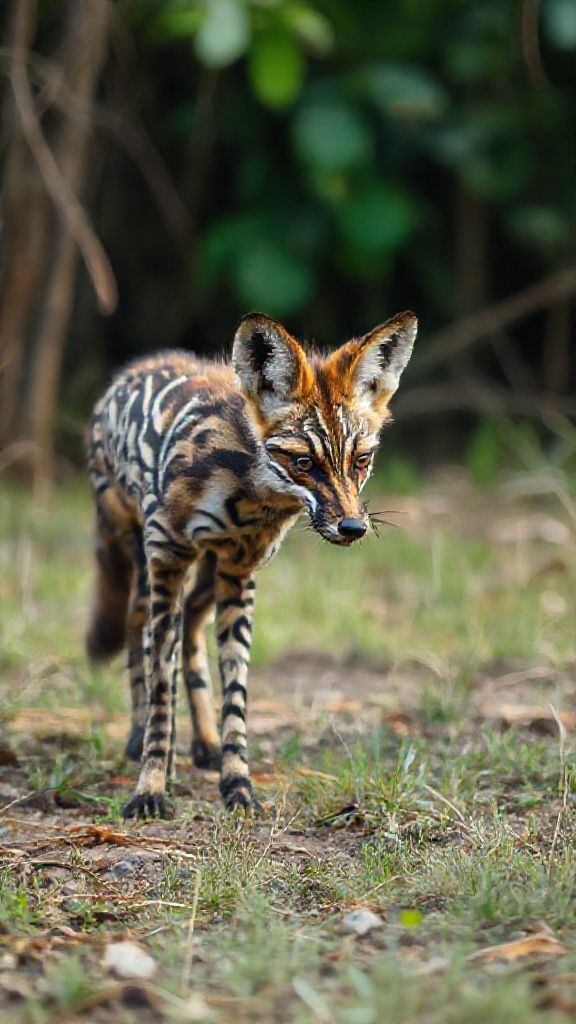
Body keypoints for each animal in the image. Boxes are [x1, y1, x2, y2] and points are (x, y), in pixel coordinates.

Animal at [86, 310, 418, 819]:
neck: (245, 498)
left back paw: (203, 744)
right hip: (144, 565)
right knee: (137, 633)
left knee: (191, 632)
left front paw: (237, 785)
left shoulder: (239, 574)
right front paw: (150, 787)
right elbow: (162, 691)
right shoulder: (167, 559)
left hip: (207, 579)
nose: (353, 527)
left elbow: (235, 697)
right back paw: (141, 740)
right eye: (303, 463)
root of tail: (133, 369)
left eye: (361, 460)